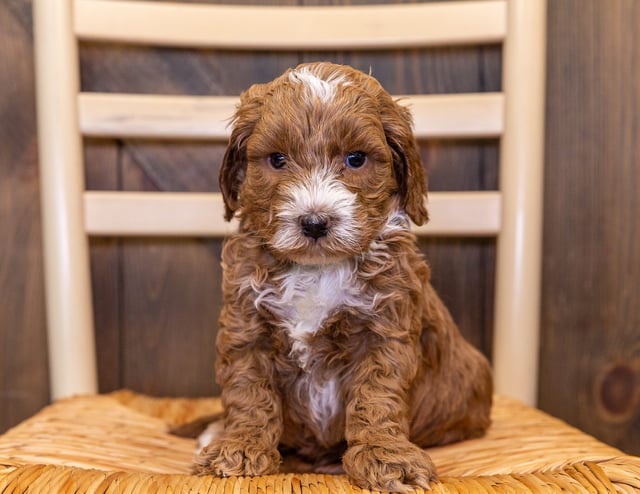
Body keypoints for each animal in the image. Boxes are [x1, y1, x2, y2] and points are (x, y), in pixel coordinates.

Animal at [195, 63, 496, 492]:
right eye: (277, 159)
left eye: (356, 159)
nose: (314, 222)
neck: (318, 269)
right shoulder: (246, 326)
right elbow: (248, 391)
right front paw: (240, 446)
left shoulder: (386, 329)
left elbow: (377, 396)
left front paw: (385, 457)